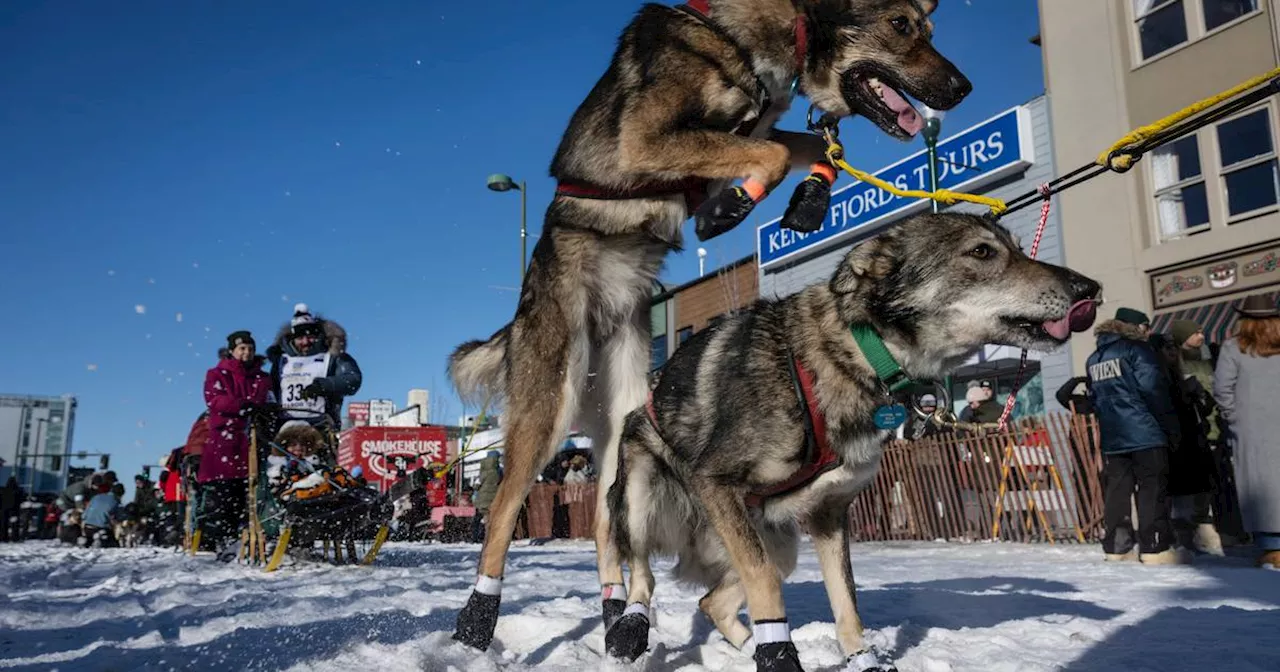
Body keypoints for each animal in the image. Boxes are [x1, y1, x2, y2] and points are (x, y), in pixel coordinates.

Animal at [448, 0, 967, 650]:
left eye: (931, 28)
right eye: (900, 24)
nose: (962, 88)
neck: (757, 33)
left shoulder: (754, 130)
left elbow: (801, 146)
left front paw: (805, 197)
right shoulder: (643, 141)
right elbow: (772, 155)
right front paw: (733, 204)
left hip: (620, 420)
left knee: (607, 525)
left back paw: (619, 614)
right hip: (550, 405)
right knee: (502, 513)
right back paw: (477, 620)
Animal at [604, 213, 1105, 665]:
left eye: (1019, 248)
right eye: (982, 252)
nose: (1089, 289)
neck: (859, 353)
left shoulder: (829, 514)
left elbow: (846, 599)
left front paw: (859, 656)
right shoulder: (716, 481)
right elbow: (762, 579)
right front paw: (779, 654)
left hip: (776, 541)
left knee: (713, 601)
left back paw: (746, 647)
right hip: (642, 493)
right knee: (642, 574)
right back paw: (631, 629)